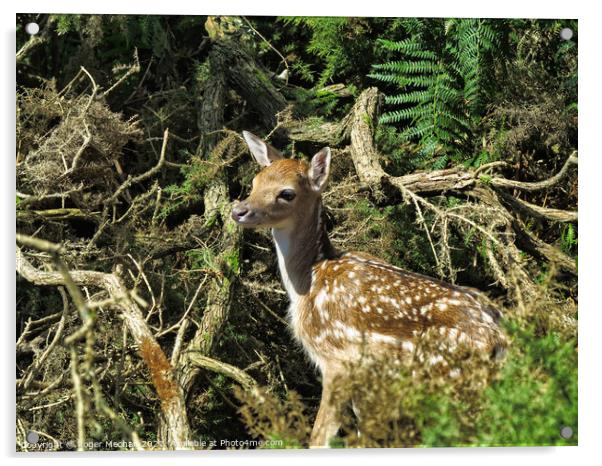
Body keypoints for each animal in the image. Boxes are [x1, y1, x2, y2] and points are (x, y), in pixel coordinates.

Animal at [231, 131, 506, 448]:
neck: (309, 280)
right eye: (255, 181)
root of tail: (500, 341)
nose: (238, 210)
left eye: (287, 193)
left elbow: (321, 436)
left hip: (448, 382)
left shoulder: (337, 358)